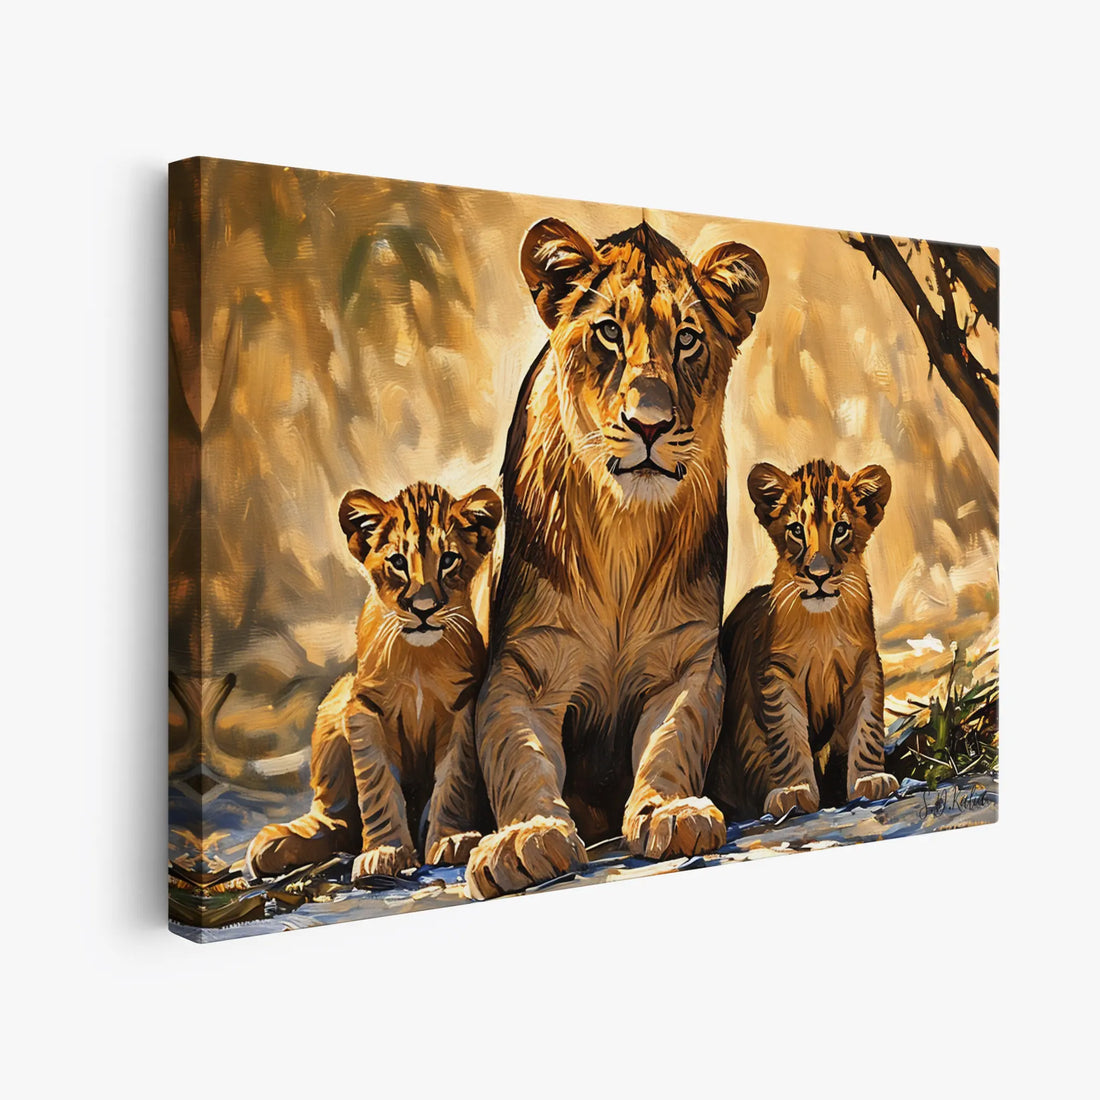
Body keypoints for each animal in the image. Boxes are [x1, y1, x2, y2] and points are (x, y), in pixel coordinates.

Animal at [245, 481, 501, 882]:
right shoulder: (364, 708)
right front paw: (385, 852)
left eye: (448, 560)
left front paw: (452, 839)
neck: (418, 659)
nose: (424, 609)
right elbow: (376, 786)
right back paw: (277, 844)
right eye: (397, 562)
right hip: (336, 698)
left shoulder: (461, 708)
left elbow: (454, 780)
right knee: (337, 819)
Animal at [464, 218, 769, 899]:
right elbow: (518, 754)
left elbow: (671, 740)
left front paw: (672, 811)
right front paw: (524, 839)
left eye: (687, 339)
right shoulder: (522, 668)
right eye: (608, 331)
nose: (649, 424)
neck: (623, 529)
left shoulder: (689, 660)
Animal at [705, 459, 900, 820]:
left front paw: (869, 779)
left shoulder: (866, 666)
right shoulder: (776, 674)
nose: (818, 575)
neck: (822, 625)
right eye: (796, 530)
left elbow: (868, 726)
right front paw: (794, 792)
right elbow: (788, 736)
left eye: (841, 529)